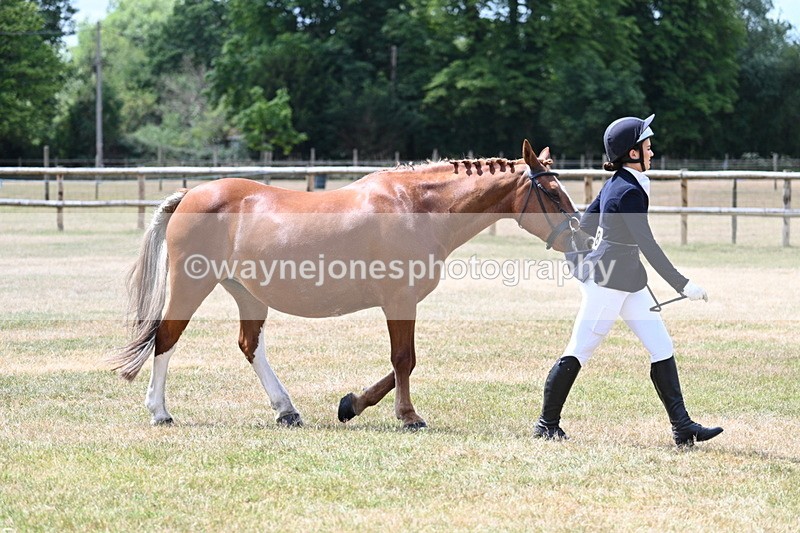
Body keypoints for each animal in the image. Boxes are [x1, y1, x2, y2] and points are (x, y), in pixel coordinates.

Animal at [111, 140, 589, 429]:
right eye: (552, 193)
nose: (582, 238)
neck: (416, 206)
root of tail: (191, 194)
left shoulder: (402, 303)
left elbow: (401, 365)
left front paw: (351, 404)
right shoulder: (400, 301)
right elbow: (404, 360)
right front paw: (408, 416)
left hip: (247, 293)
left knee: (250, 345)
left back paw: (286, 410)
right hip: (192, 285)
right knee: (166, 338)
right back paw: (159, 412)